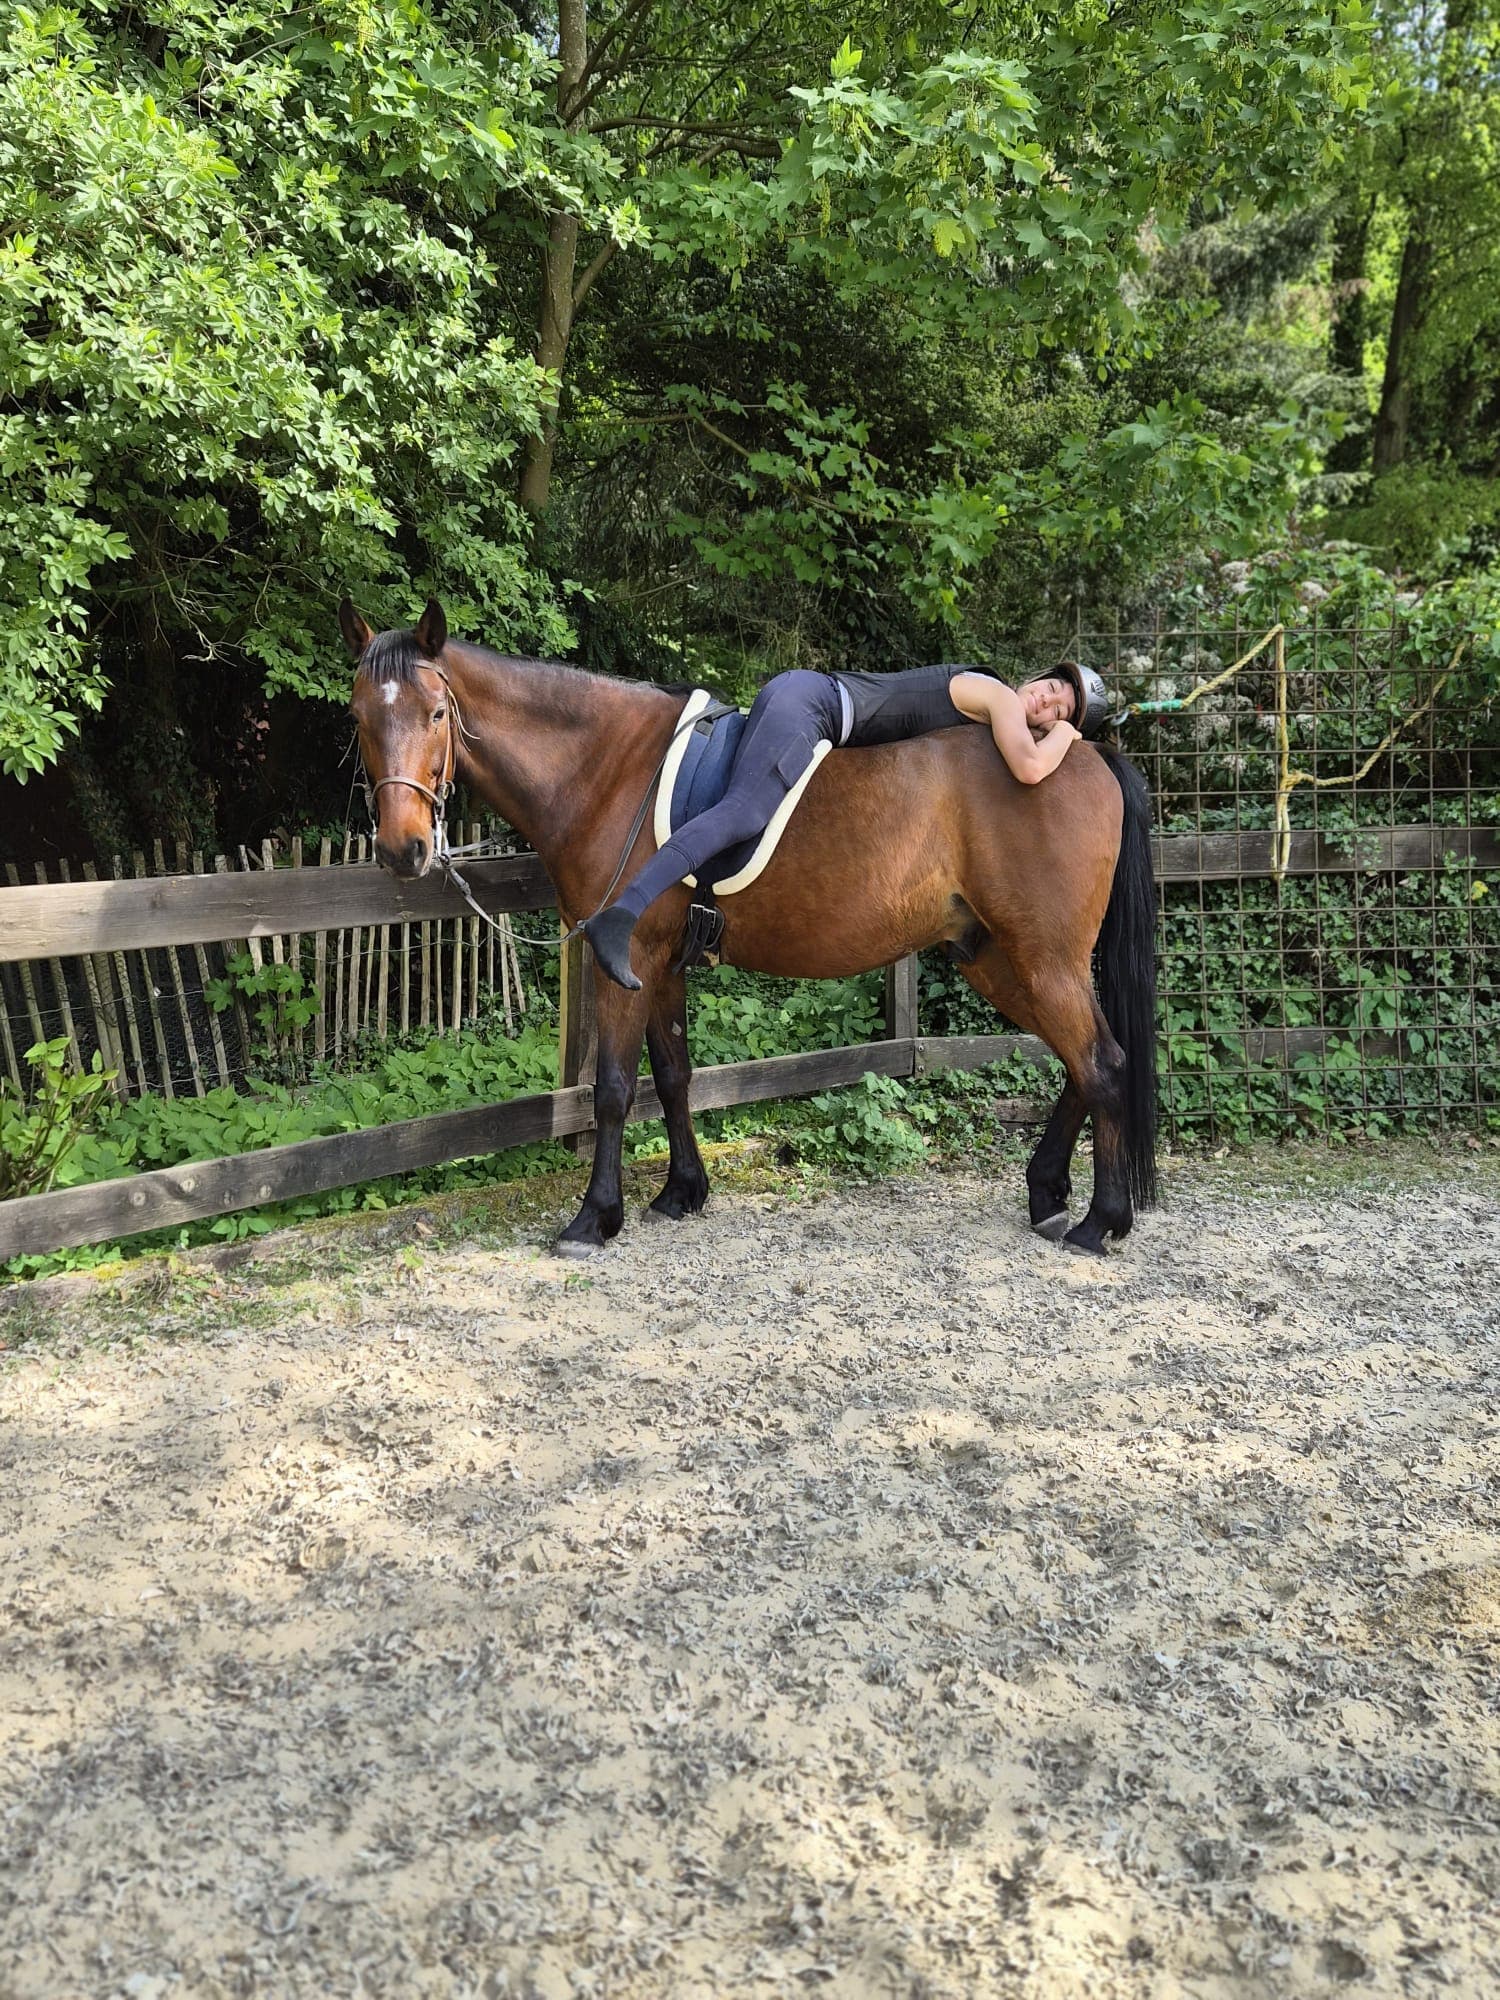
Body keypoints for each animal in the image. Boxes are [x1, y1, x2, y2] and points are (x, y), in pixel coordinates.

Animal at [343, 597, 1158, 1257]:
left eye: (437, 715)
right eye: (359, 717)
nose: (402, 848)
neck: (605, 767)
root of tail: (1089, 754)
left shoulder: (629, 960)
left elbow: (613, 1087)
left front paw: (594, 1218)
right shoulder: (662, 963)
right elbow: (673, 1073)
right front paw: (682, 1191)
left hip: (1042, 958)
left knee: (1102, 1063)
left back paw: (1102, 1220)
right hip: (994, 958)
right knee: (1083, 1062)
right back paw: (1048, 1193)